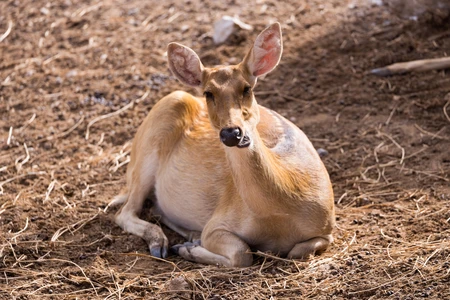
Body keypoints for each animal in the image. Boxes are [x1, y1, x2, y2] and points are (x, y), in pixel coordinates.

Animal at [109, 23, 334, 268]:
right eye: (209, 93)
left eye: (247, 88)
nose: (231, 132)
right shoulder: (217, 224)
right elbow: (242, 253)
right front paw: (189, 250)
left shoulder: (327, 227)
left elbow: (298, 251)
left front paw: (190, 246)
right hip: (155, 133)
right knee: (124, 212)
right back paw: (163, 243)